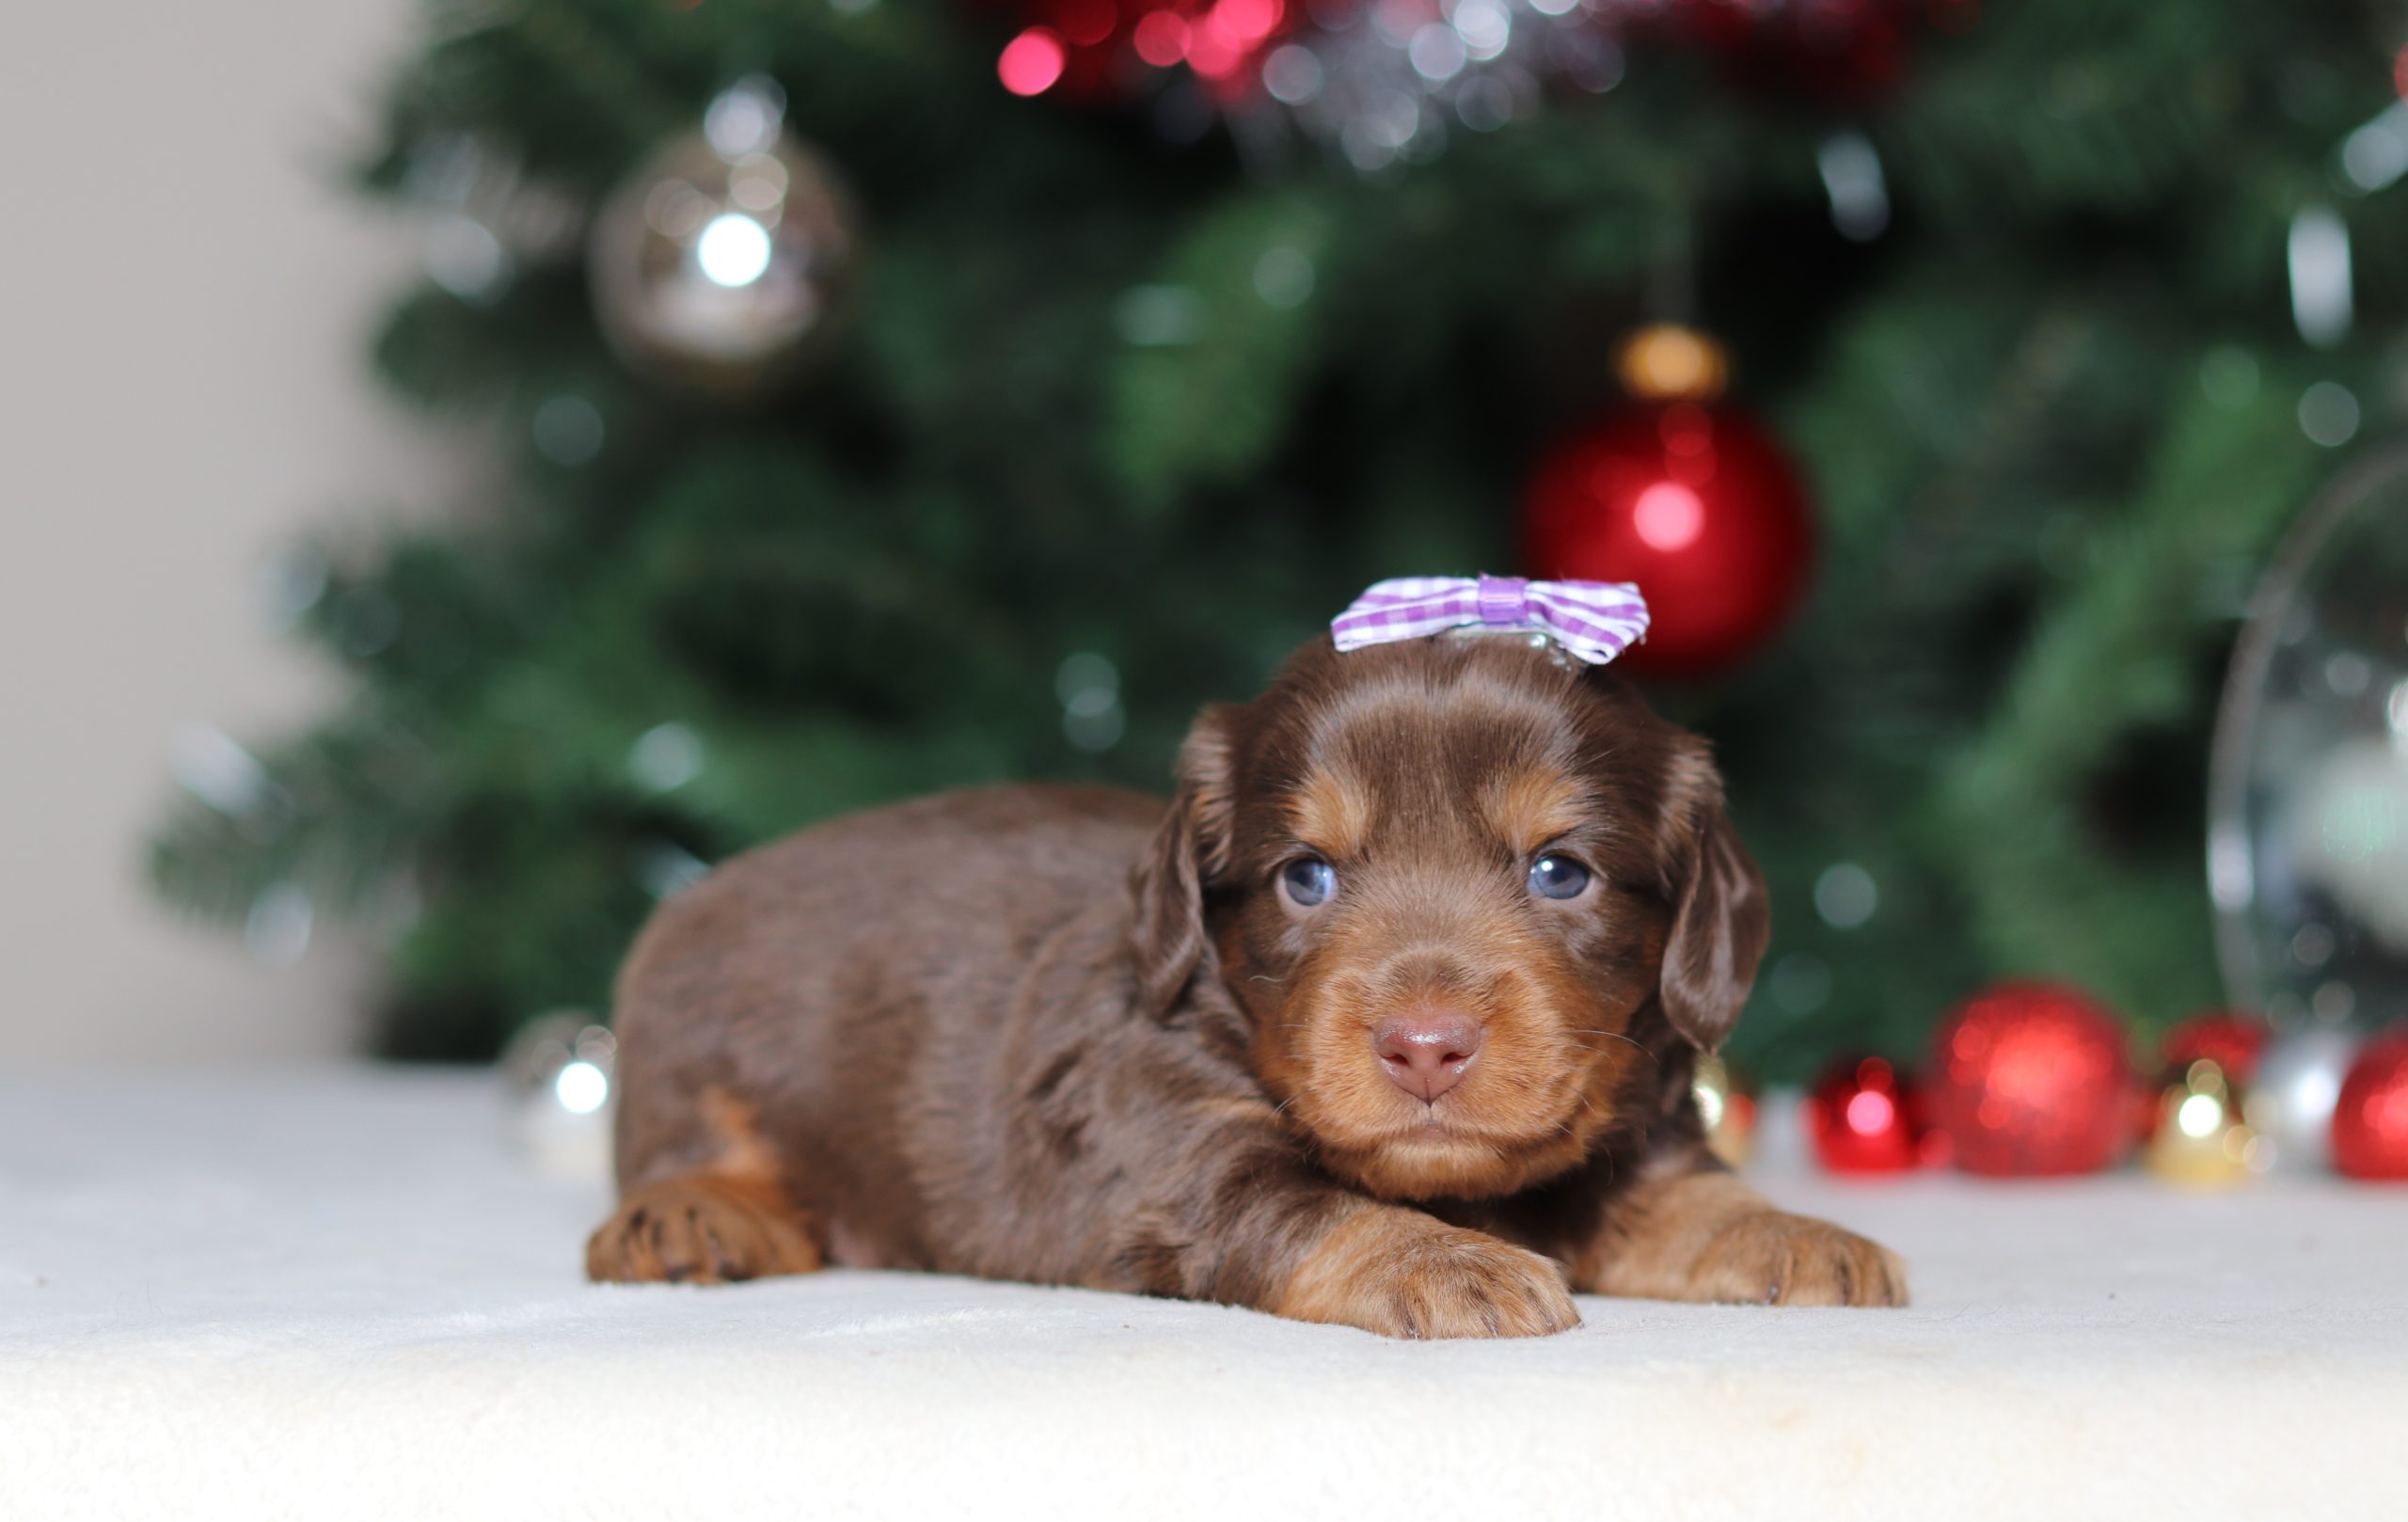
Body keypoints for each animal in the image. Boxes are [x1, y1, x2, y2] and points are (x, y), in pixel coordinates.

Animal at [588, 629, 1906, 1337]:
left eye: (1560, 870)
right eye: (1304, 875)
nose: (1424, 1045)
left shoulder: (1624, 1124)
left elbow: (1677, 1194)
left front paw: (1798, 1234)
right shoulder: (1168, 1145)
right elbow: (1310, 1206)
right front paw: (1449, 1262)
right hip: (684, 1036)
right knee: (690, 1143)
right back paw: (693, 1216)